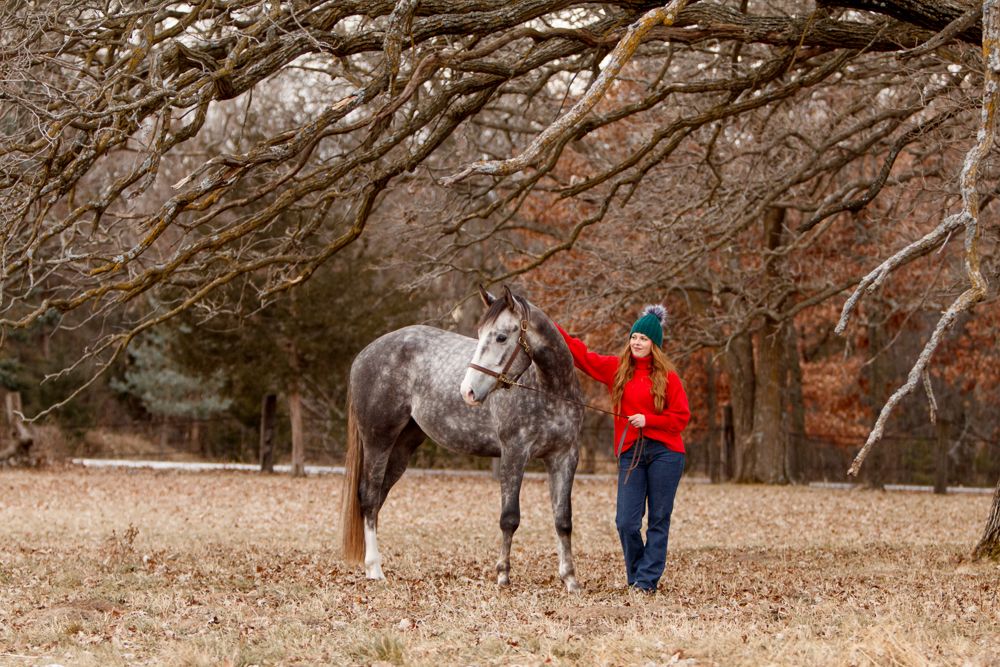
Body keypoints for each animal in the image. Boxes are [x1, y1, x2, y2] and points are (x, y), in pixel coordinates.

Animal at [340, 285, 584, 591]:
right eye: (480, 334)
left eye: (501, 336)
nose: (467, 391)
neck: (549, 390)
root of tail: (364, 355)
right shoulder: (514, 453)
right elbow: (509, 518)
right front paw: (503, 575)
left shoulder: (564, 457)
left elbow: (563, 520)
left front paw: (570, 579)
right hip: (378, 441)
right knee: (370, 498)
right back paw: (374, 569)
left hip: (402, 447)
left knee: (378, 498)